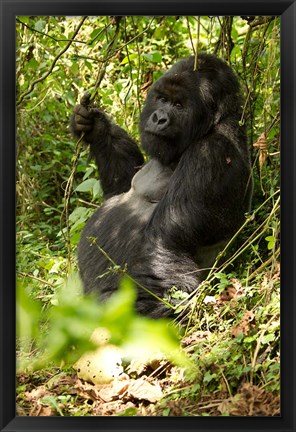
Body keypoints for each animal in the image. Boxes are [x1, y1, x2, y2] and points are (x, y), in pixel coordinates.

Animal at [70, 53, 252, 318]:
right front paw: (94, 126)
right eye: (163, 99)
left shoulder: (210, 154)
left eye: (179, 105)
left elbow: (165, 241)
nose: (159, 118)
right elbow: (121, 185)